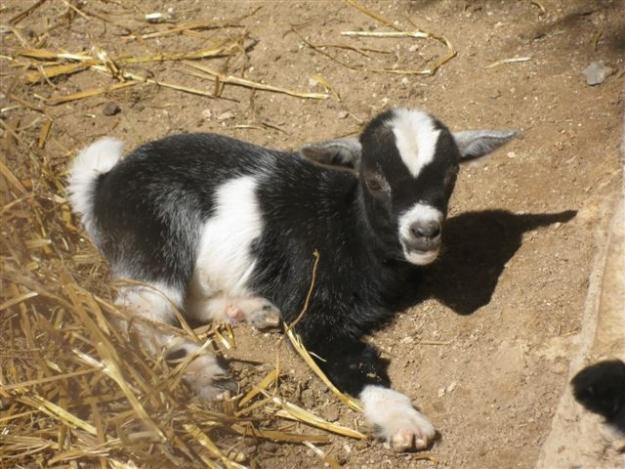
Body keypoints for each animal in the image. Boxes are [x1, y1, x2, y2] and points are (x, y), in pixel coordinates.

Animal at [68, 108, 516, 452]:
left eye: (451, 175)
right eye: (374, 180)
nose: (424, 232)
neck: (345, 227)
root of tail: (102, 183)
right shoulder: (310, 306)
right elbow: (349, 362)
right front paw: (403, 421)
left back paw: (248, 308)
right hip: (155, 236)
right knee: (137, 310)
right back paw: (204, 370)